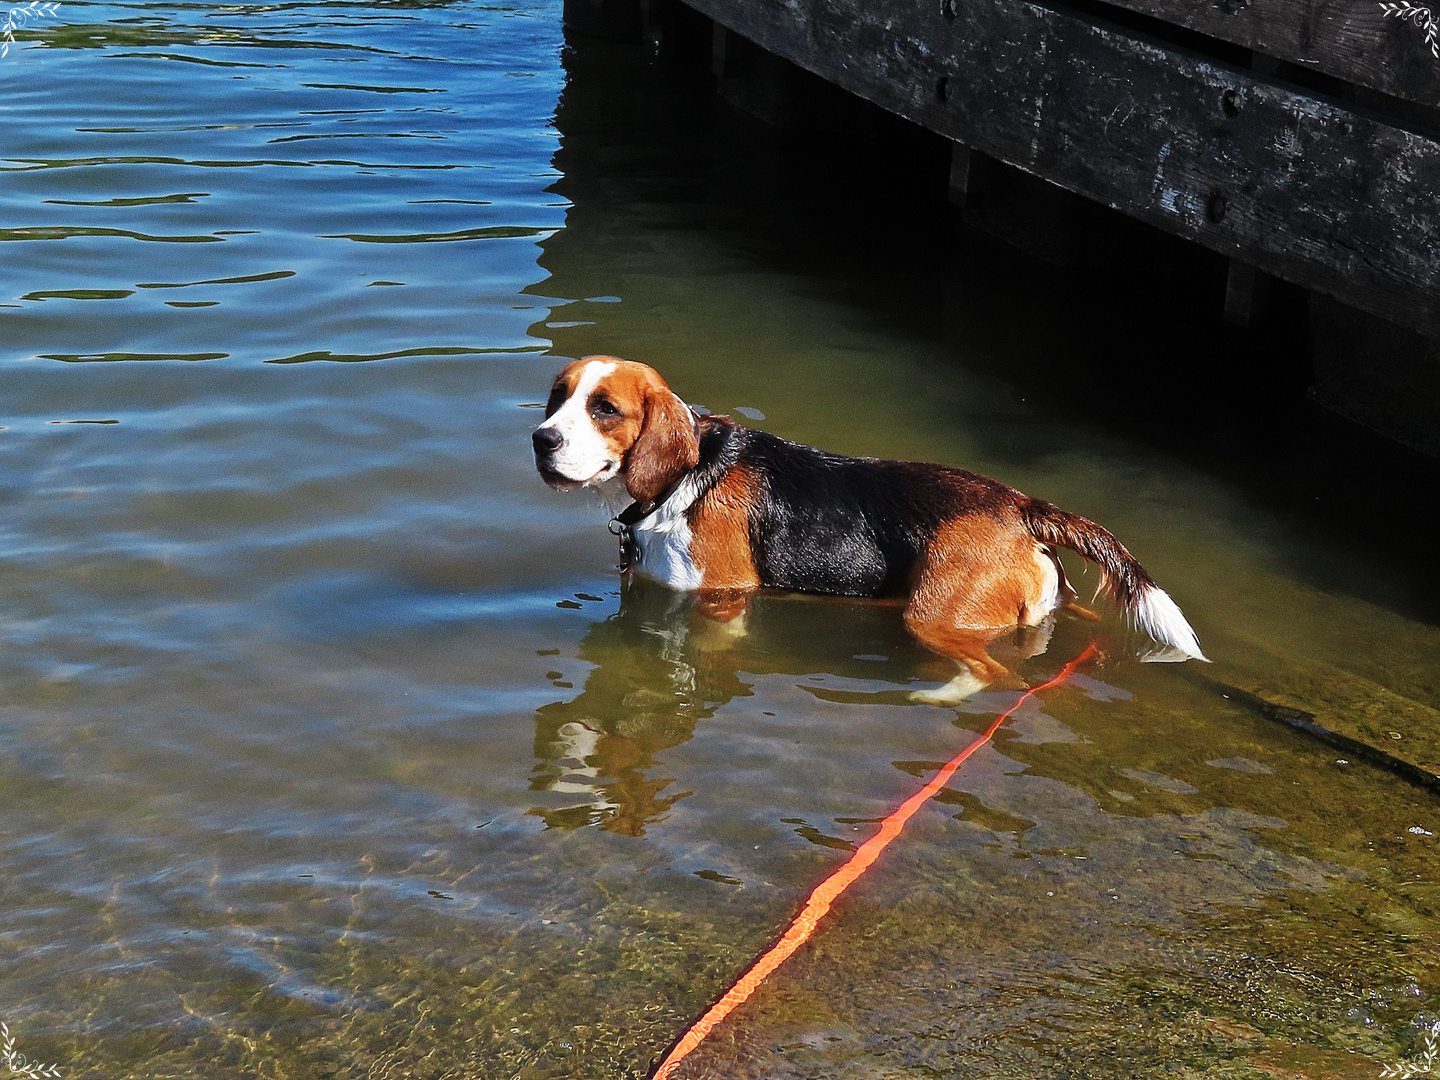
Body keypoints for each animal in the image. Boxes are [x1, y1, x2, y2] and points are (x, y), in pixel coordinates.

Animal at [532, 360, 1203, 705]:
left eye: (605, 409)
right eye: (556, 398)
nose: (541, 440)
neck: (683, 477)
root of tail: (1020, 504)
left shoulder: (717, 606)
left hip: (933, 617)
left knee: (997, 676)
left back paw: (935, 697)